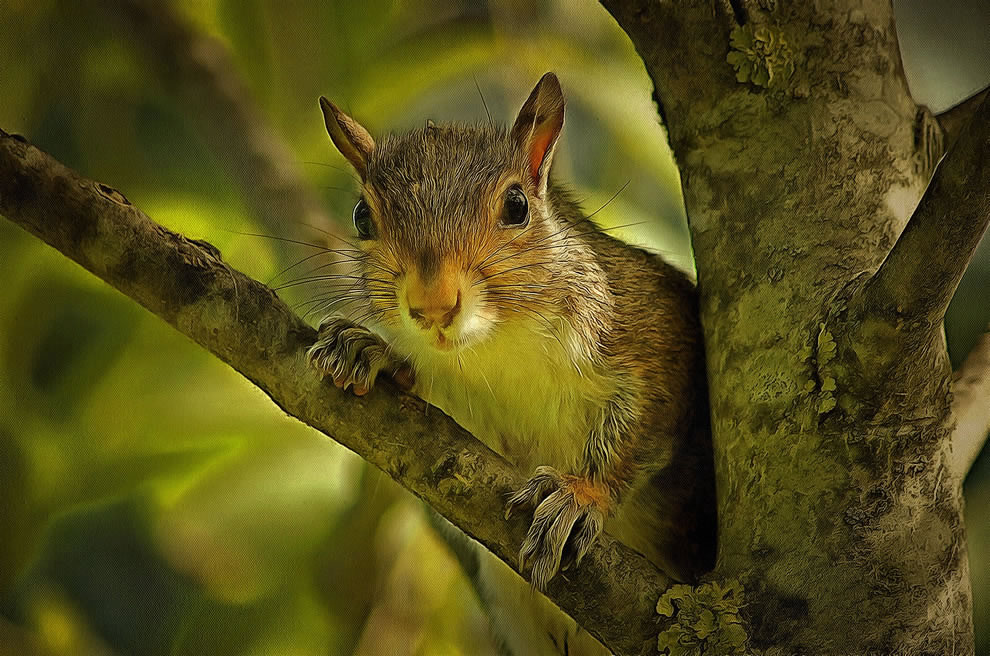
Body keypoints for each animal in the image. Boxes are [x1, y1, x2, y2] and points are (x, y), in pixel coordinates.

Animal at [308, 73, 712, 656]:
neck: (494, 349)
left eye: (517, 206)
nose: (432, 305)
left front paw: (579, 495)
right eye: (362, 217)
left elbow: (646, 421)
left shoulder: (655, 332)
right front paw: (370, 350)